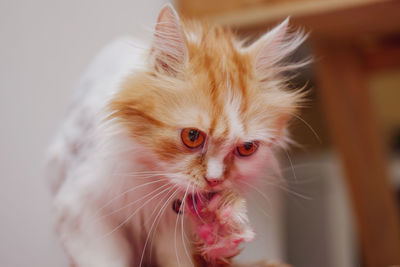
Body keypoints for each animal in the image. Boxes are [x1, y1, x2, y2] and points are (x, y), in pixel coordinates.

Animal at [47, 4, 306, 267]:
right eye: (192, 137)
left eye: (246, 148)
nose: (214, 180)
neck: (154, 180)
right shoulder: (81, 208)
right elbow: (106, 259)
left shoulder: (173, 233)